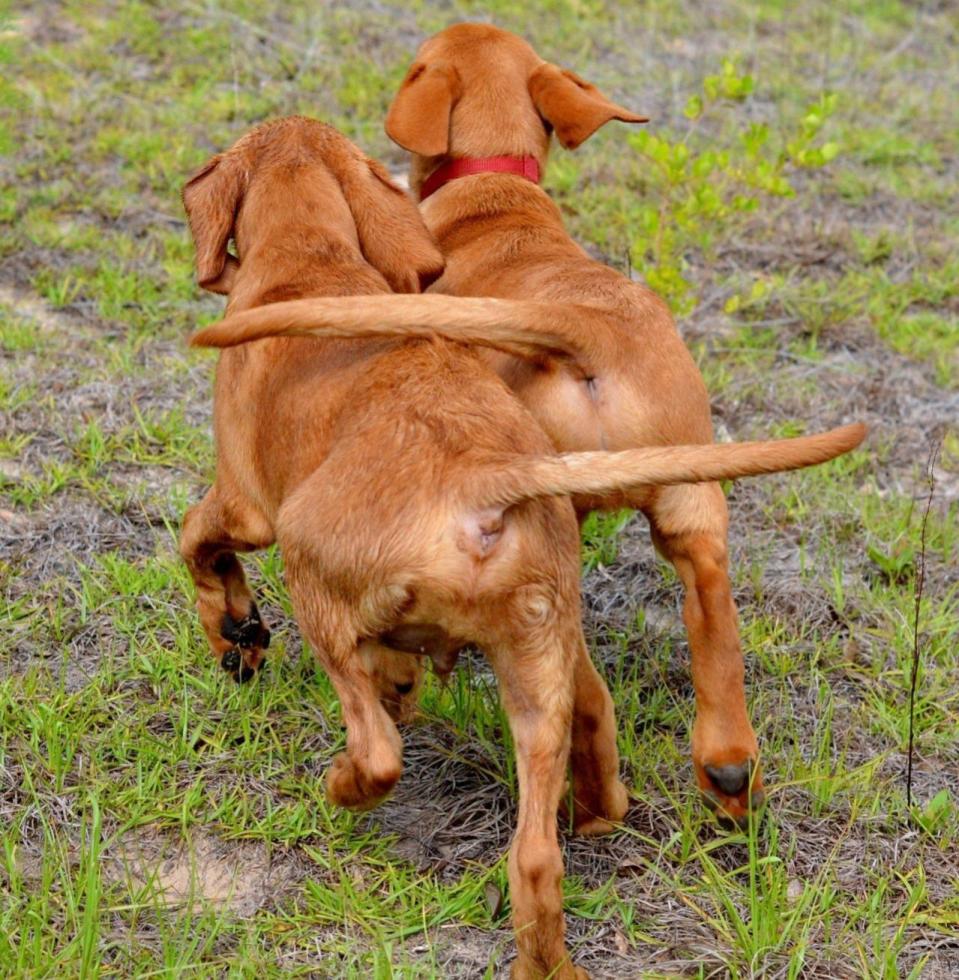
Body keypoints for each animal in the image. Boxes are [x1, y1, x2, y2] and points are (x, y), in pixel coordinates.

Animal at [180, 118, 864, 976]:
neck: (309, 264)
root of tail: (486, 479)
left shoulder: (244, 506)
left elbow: (198, 541)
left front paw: (233, 633)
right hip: (546, 654)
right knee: (544, 836)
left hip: (318, 584)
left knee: (377, 751)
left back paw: (341, 784)